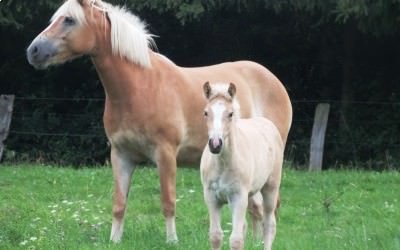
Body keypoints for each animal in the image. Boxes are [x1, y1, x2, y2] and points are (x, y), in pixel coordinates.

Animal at [200, 83, 284, 250]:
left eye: (230, 114)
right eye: (206, 113)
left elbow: (236, 240)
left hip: (270, 188)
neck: (223, 164)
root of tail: (267, 123)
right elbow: (215, 236)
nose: (215, 144)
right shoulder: (211, 197)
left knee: (269, 224)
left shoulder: (238, 197)